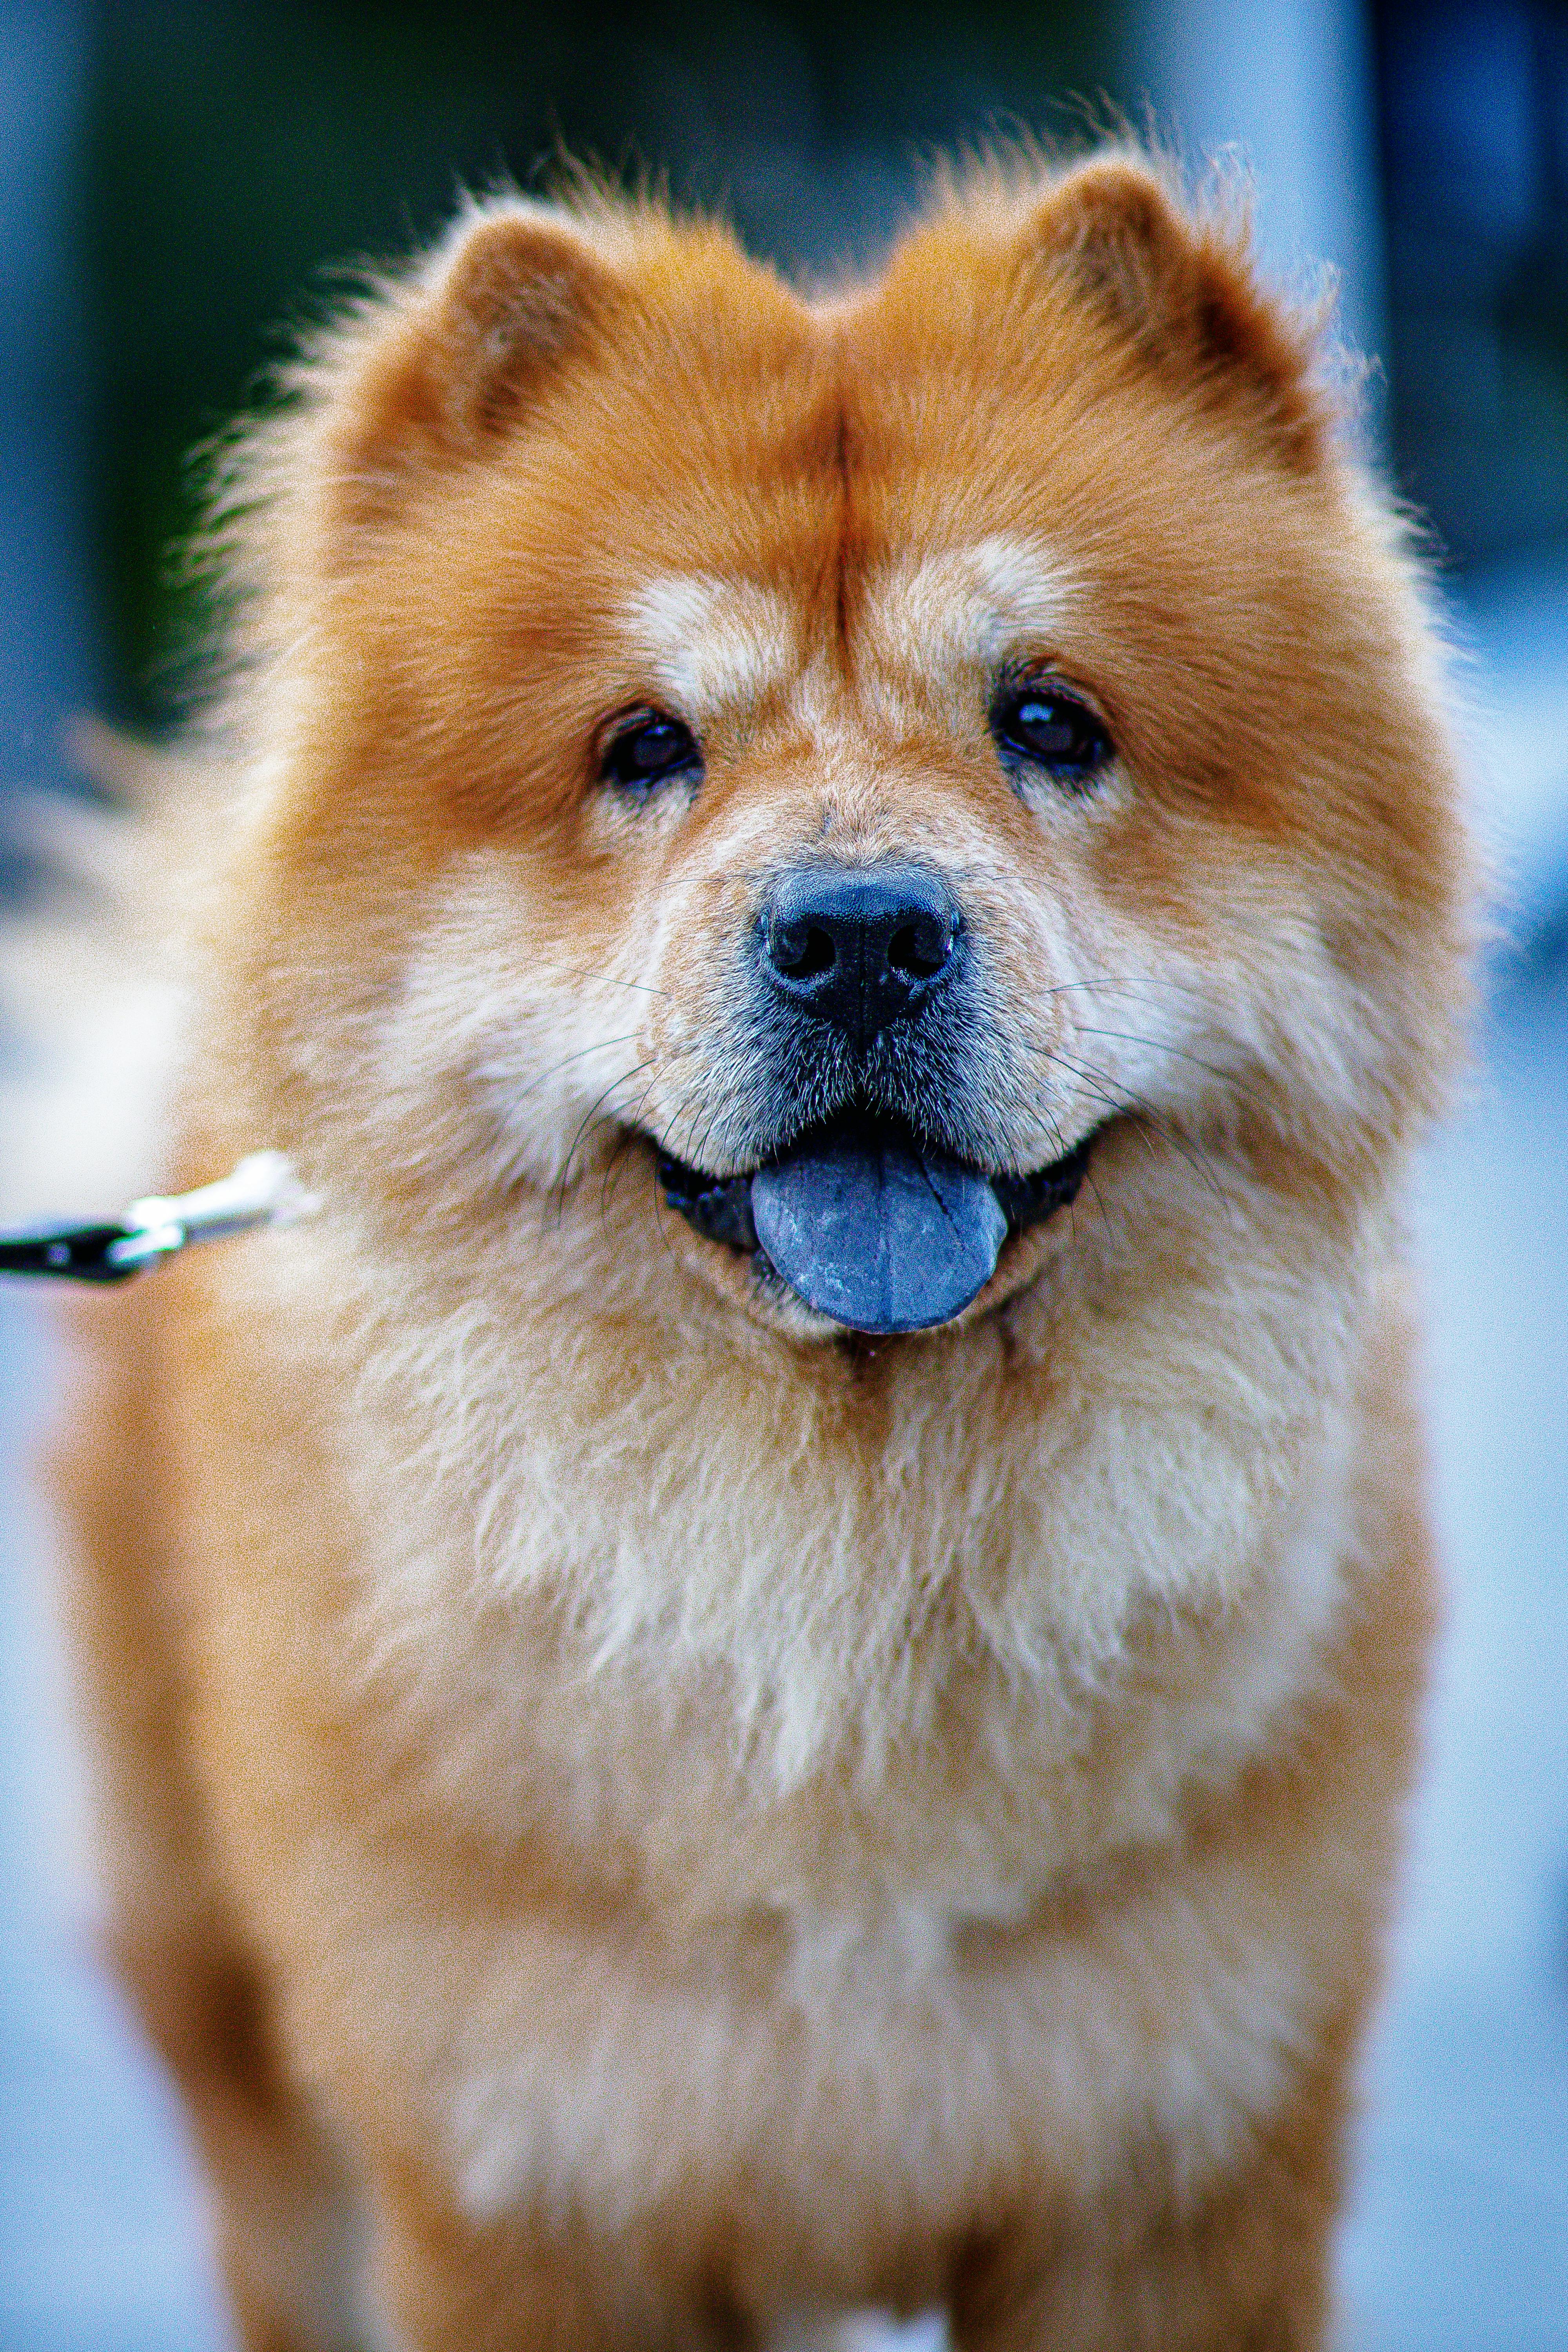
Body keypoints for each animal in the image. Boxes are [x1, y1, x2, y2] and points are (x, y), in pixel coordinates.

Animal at [49, 152, 1476, 2352]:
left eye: (1047, 722)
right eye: (645, 748)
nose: (863, 931)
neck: (841, 1580)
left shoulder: (1172, 2175)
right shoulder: (529, 2187)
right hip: (244, 2053)